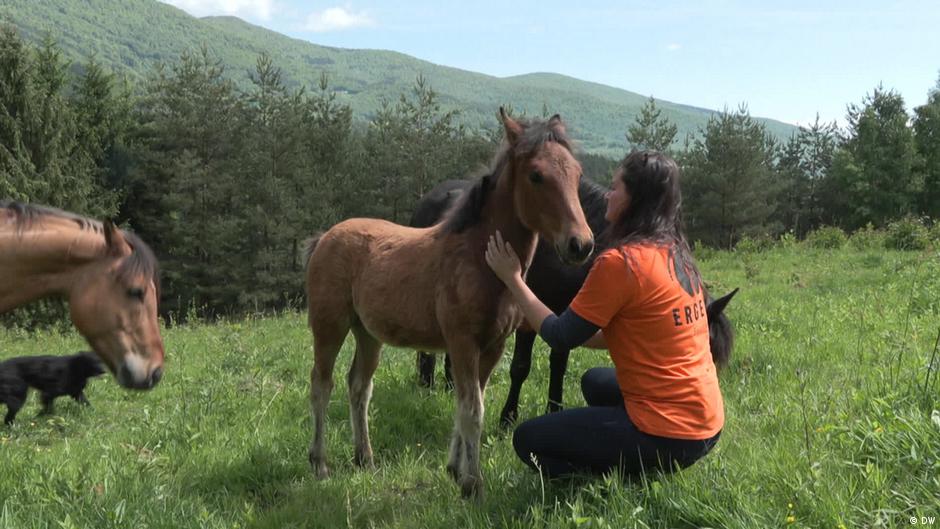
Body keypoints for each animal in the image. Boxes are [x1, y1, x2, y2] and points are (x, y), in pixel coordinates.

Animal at [304, 109, 594, 498]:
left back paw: (365, 458)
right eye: (536, 175)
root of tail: (325, 237)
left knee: (359, 386)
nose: (580, 244)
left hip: (368, 333)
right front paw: (473, 484)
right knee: (322, 385)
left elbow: (469, 403)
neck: (477, 259)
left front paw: (456, 470)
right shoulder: (462, 342)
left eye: (577, 173)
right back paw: (320, 464)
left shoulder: (492, 346)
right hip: (329, 326)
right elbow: (472, 409)